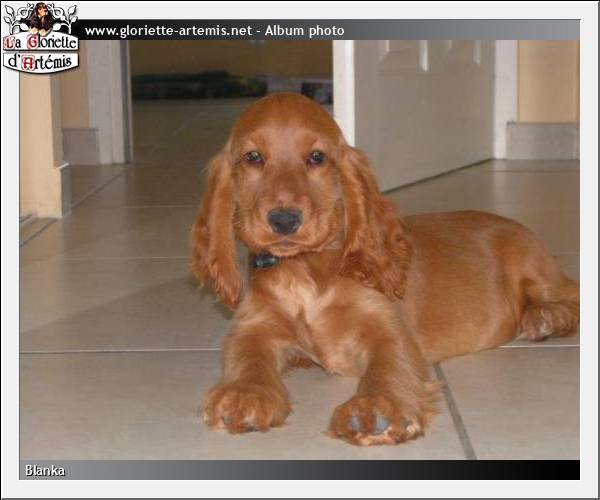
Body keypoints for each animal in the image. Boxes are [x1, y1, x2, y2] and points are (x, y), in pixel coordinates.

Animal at [190, 92, 579, 446]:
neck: (305, 270)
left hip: (533, 264)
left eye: (317, 157)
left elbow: (387, 365)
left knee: (570, 294)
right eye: (253, 157)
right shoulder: (254, 325)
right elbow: (248, 355)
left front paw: (374, 408)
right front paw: (245, 394)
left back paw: (543, 318)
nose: (284, 220)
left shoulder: (388, 328)